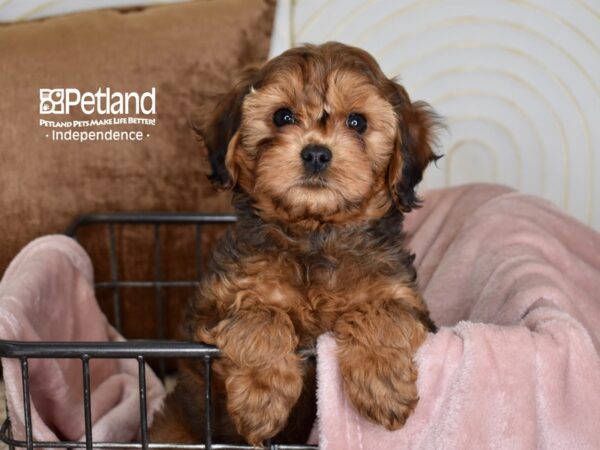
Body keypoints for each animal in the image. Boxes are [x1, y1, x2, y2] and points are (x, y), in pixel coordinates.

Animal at [150, 41, 440, 446]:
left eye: (357, 122)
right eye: (282, 116)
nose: (316, 153)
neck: (313, 232)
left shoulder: (403, 297)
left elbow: (385, 312)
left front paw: (383, 381)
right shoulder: (210, 314)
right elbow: (260, 315)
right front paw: (262, 395)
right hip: (175, 426)